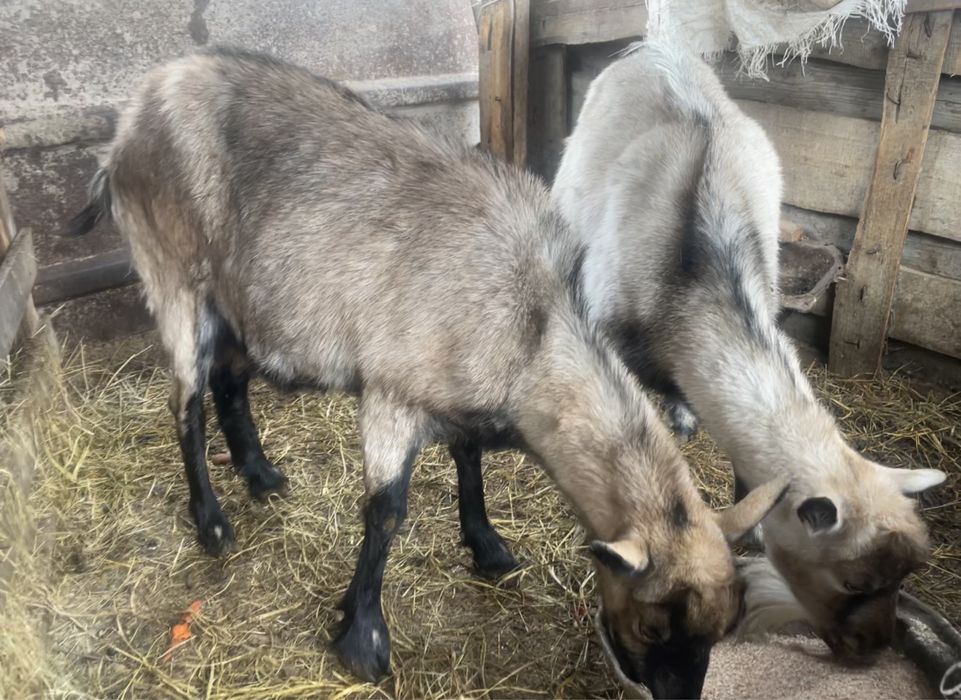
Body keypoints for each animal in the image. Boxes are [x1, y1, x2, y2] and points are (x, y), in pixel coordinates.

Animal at [69, 47, 785, 696]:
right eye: (655, 624)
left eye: (719, 634)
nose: (677, 696)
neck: (535, 330)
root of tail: (131, 119)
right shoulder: (391, 393)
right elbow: (386, 512)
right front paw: (362, 638)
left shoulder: (458, 390)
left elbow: (468, 459)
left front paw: (486, 545)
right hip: (175, 276)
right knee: (185, 401)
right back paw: (213, 523)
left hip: (246, 298)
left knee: (229, 381)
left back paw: (261, 474)